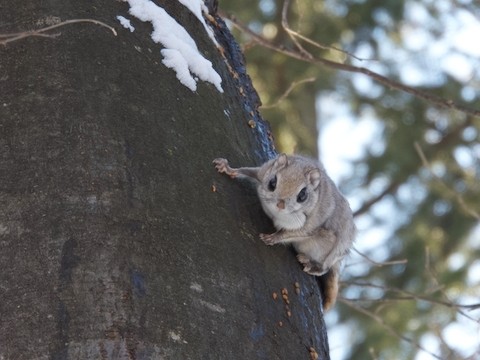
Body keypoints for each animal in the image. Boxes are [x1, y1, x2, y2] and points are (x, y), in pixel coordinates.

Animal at [214, 153, 356, 310]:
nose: (280, 205)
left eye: (302, 195)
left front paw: (273, 238)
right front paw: (228, 168)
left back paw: (311, 264)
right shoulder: (263, 171)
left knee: (325, 267)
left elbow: (294, 233)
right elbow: (249, 171)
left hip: (332, 249)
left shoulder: (313, 223)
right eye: (272, 182)